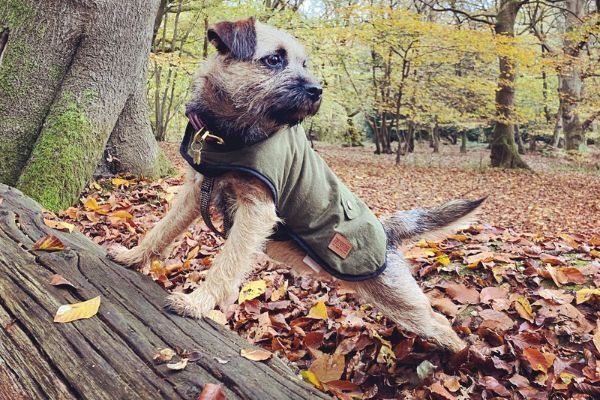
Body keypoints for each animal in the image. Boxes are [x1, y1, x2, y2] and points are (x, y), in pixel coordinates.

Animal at [108, 17, 482, 352]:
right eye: (274, 59)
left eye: (304, 64)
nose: (317, 90)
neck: (228, 134)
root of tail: (386, 231)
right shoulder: (195, 191)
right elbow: (162, 229)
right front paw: (132, 256)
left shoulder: (256, 211)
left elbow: (227, 263)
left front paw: (197, 302)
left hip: (399, 299)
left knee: (439, 322)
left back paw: (460, 356)